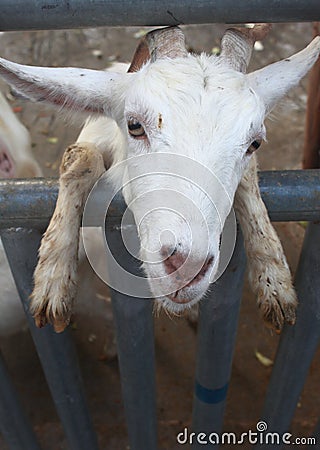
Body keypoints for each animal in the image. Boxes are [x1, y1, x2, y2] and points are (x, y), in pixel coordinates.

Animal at [0, 26, 318, 332]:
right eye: (134, 126)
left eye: (254, 144)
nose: (187, 266)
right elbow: (80, 156)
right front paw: (53, 279)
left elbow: (249, 178)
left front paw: (274, 278)